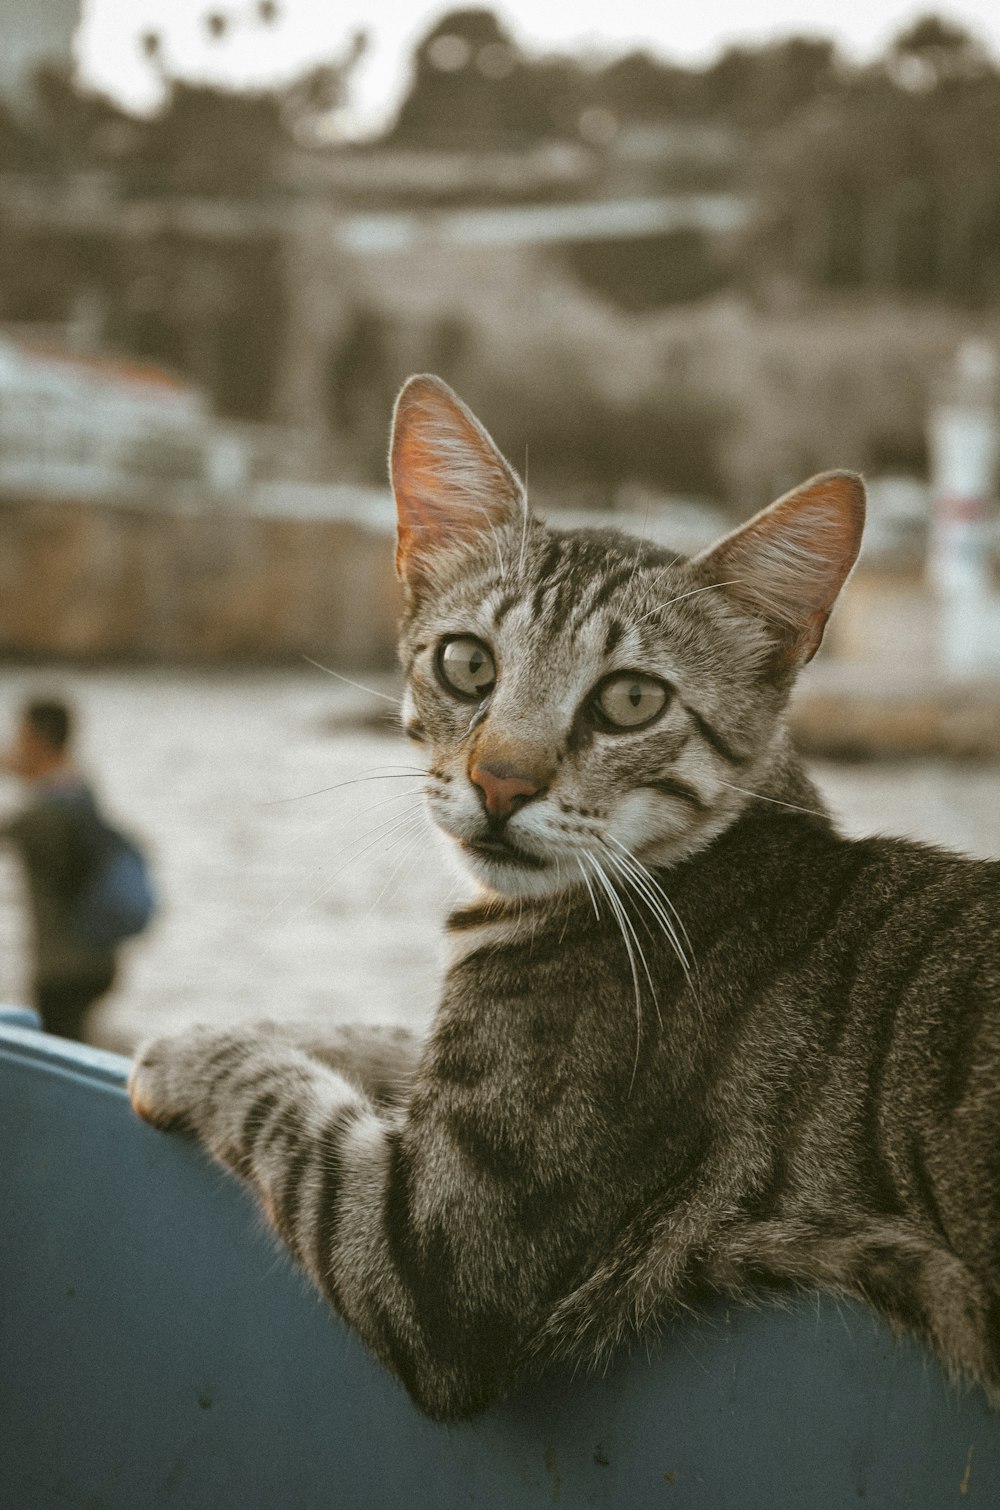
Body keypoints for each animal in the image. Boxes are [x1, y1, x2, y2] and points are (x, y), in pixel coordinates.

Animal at [131, 371, 1000, 1419]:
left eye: (631, 700)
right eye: (468, 662)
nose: (502, 782)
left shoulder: (438, 1251)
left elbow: (288, 1107)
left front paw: (197, 1051)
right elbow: (383, 1040)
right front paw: (262, 1025)